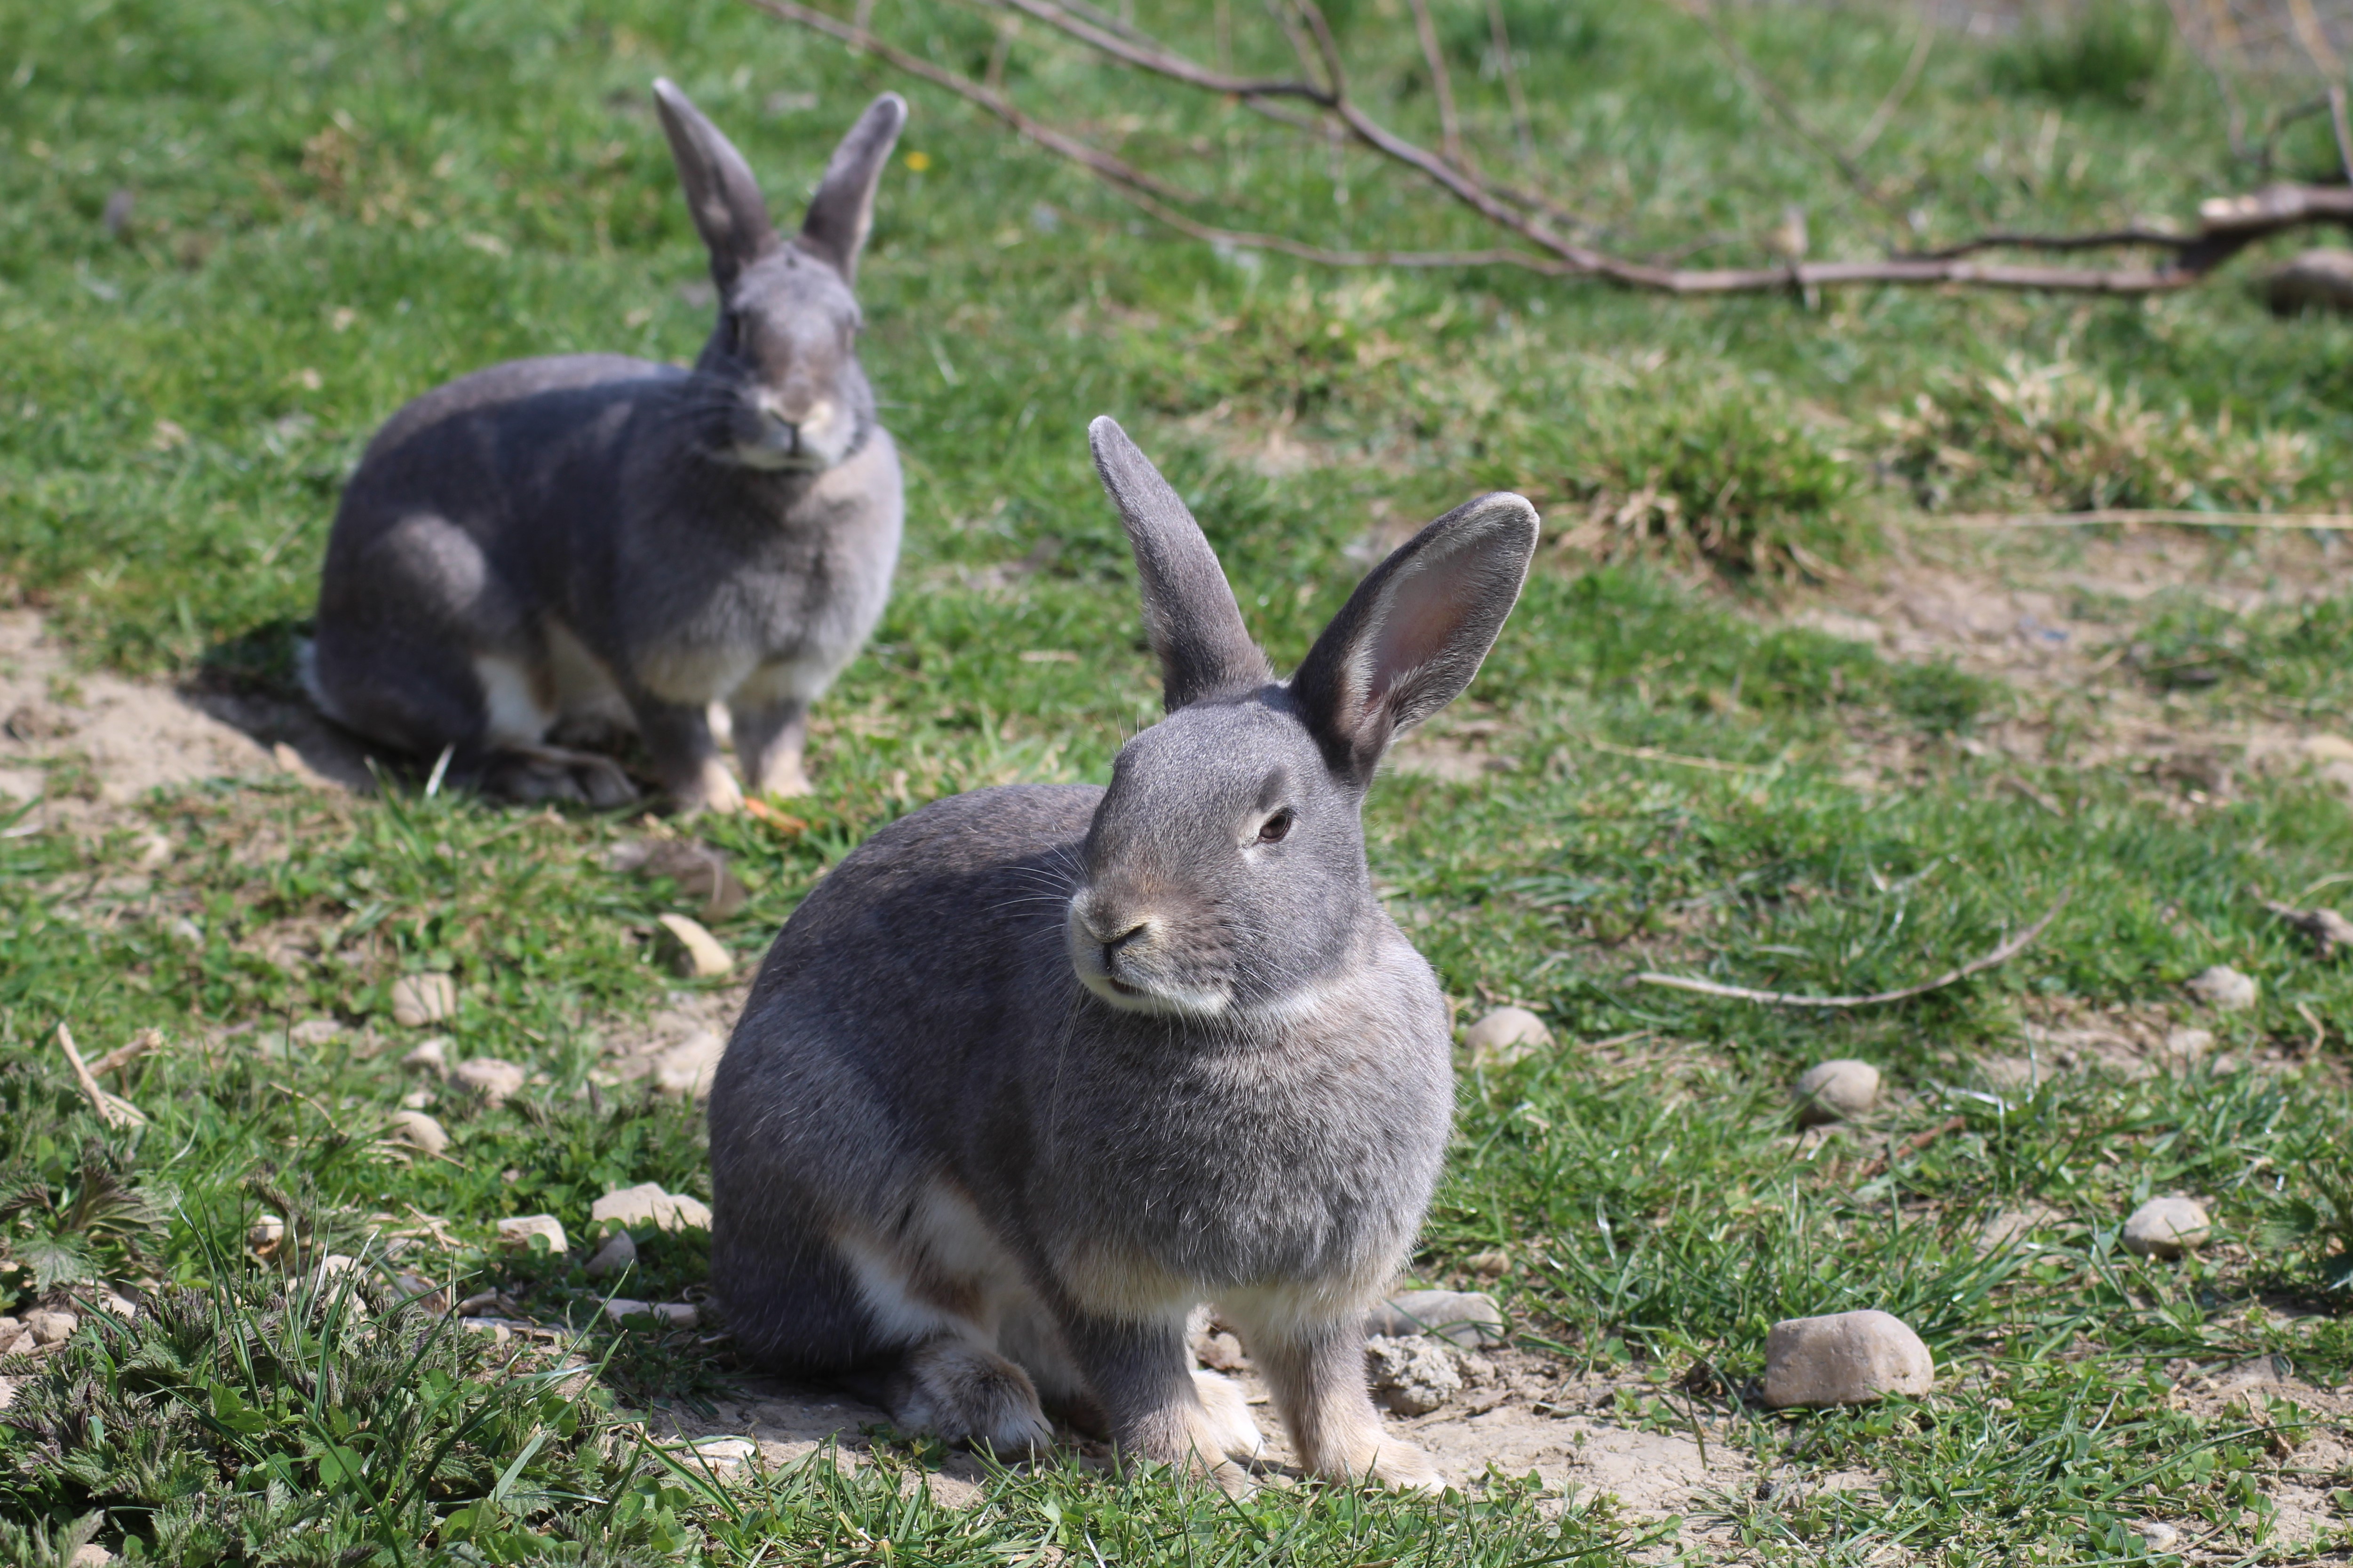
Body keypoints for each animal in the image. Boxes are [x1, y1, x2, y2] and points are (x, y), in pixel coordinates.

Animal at [304, 81, 907, 811]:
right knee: (469, 750)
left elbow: (776, 739)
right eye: (735, 326)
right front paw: (718, 805)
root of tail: (330, 667)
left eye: (853, 333)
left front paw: (789, 797)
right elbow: (681, 740)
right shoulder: (654, 659)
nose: (794, 412)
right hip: (465, 625)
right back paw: (577, 777)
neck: (788, 486)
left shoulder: (788, 675)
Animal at [707, 416, 1539, 1490]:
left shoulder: (1320, 1284)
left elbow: (1324, 1378)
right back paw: (990, 1400)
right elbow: (1133, 1360)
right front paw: (1193, 1470)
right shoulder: (1092, 1259)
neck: (1252, 1025)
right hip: (828, 1175)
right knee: (868, 1342)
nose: (1111, 925)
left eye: (1274, 824)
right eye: (1122, 775)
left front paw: (1380, 1465)